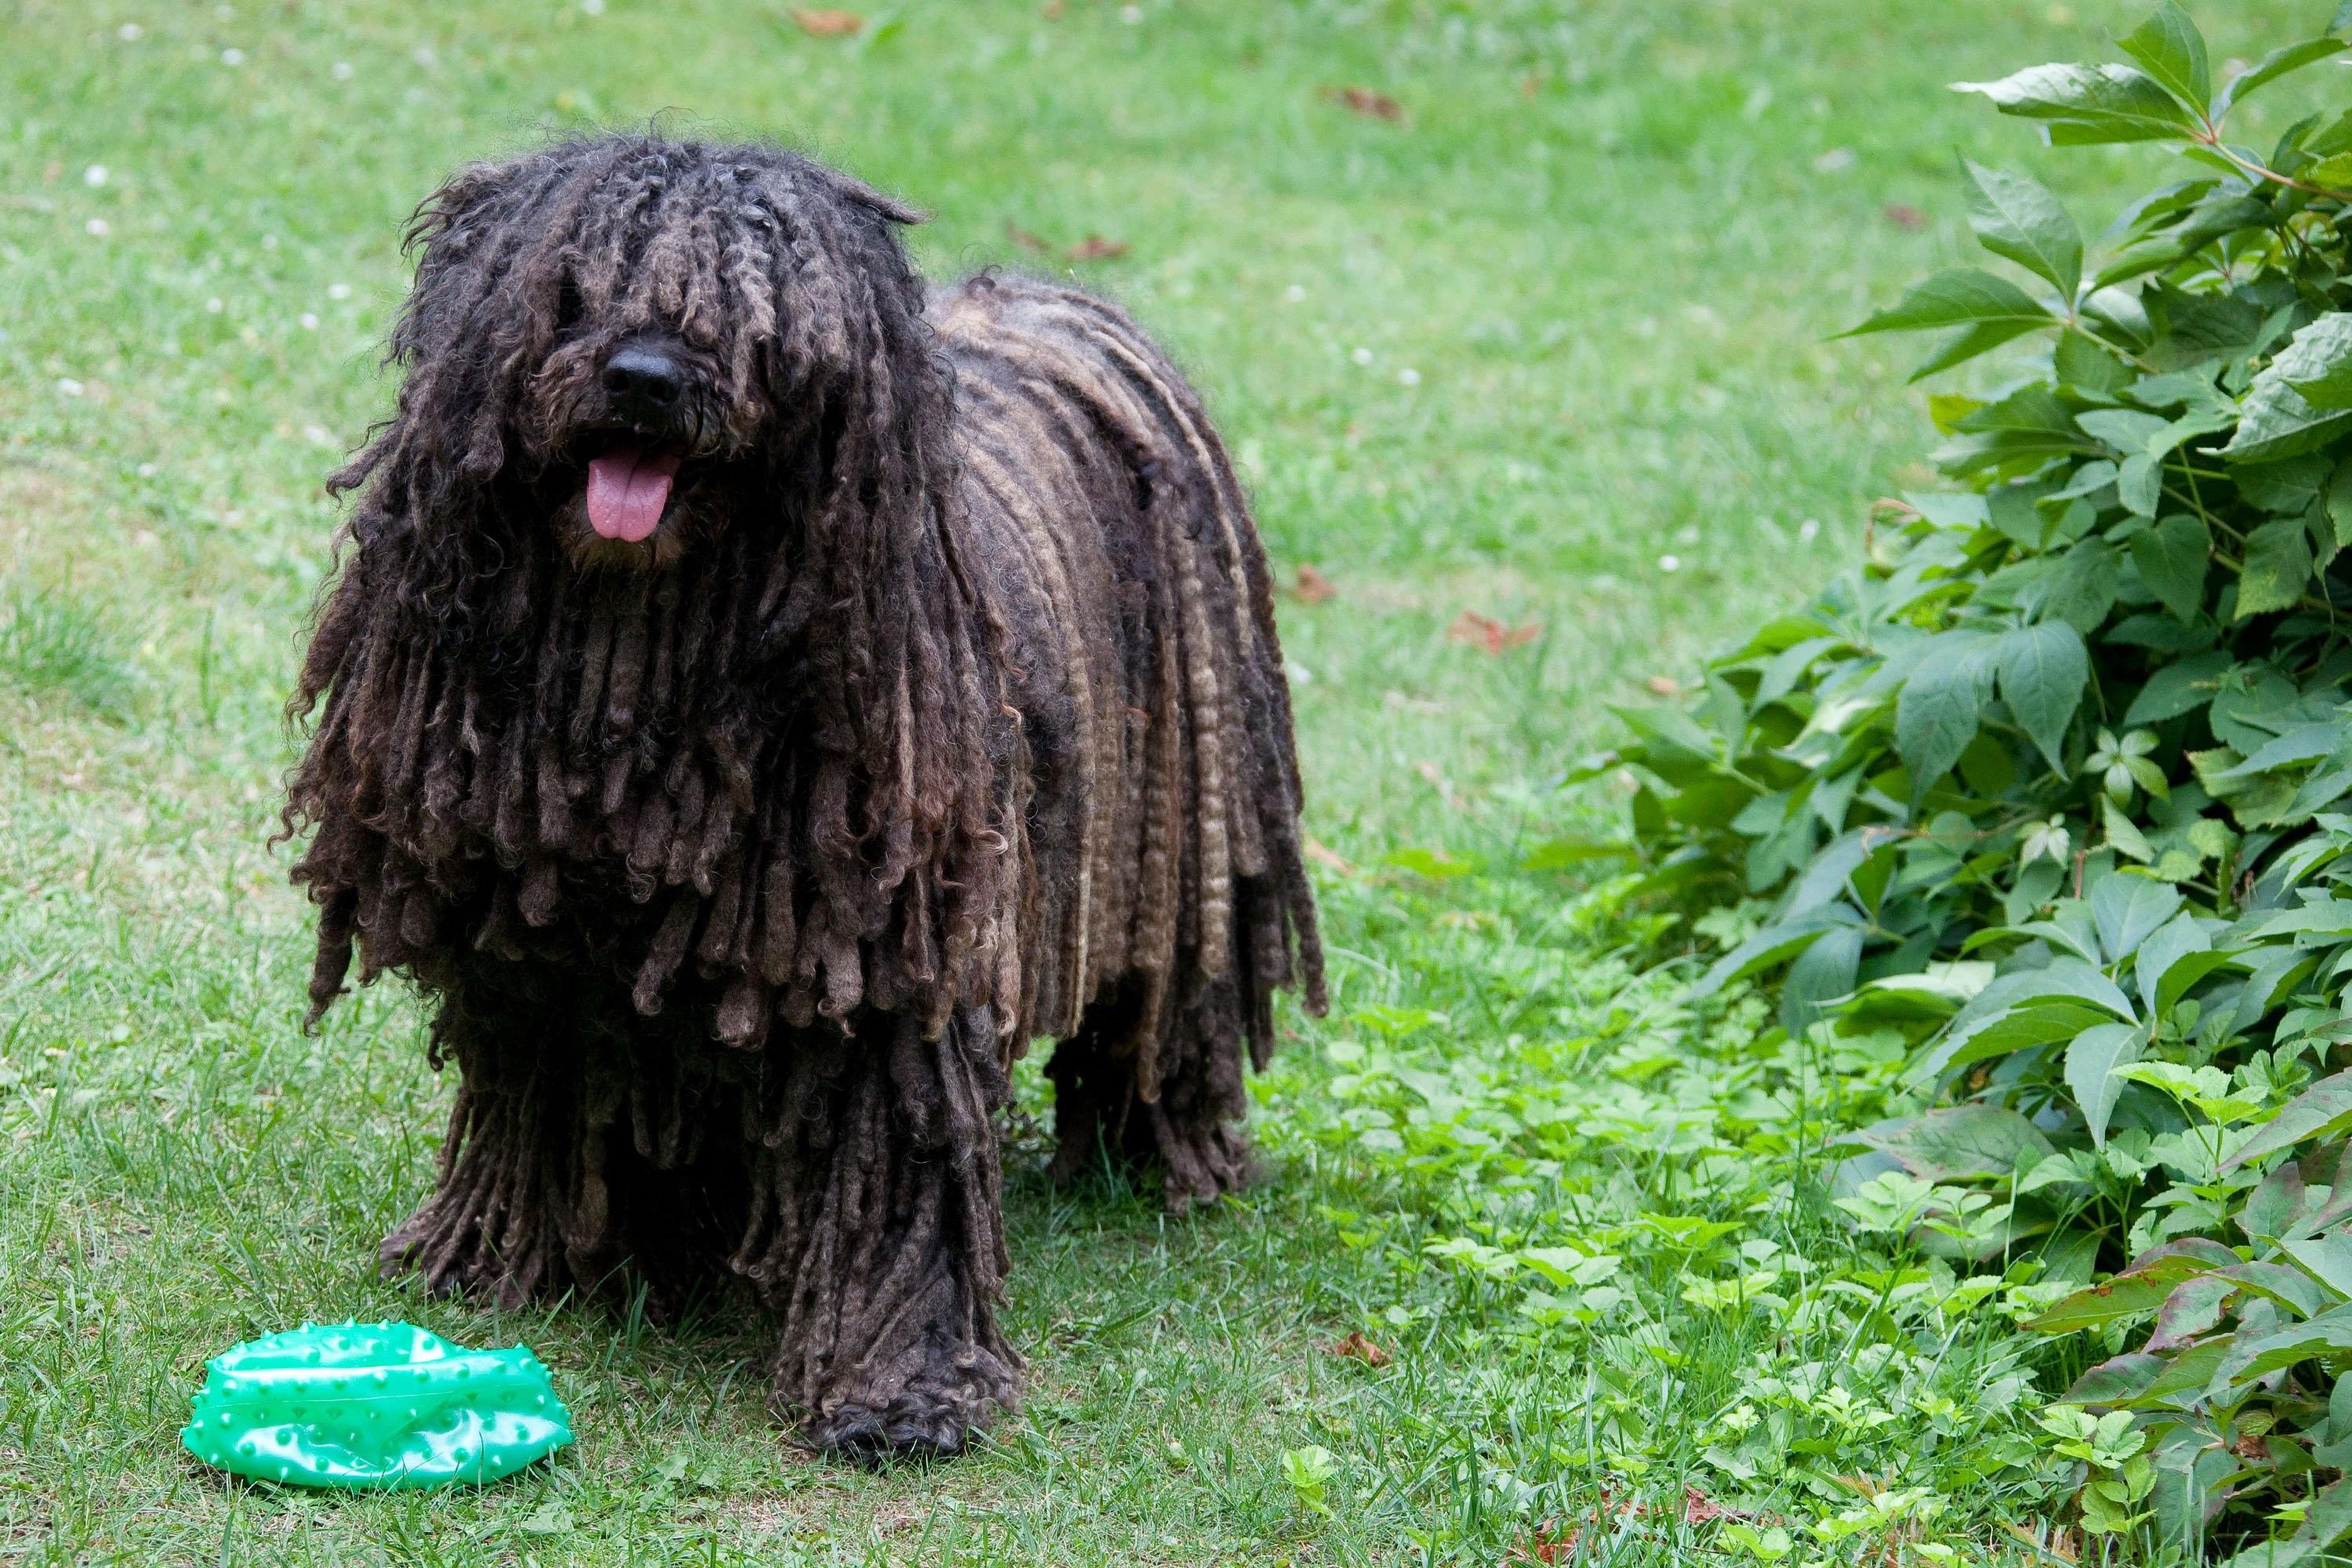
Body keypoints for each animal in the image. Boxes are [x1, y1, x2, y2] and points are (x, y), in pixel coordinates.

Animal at [280, 138, 1327, 1457]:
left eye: (759, 328)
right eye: (571, 292)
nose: (644, 378)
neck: (640, 664)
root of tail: (1054, 304)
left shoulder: (892, 960)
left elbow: (903, 1157)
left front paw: (899, 1390)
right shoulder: (530, 951)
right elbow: (543, 1090)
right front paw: (515, 1262)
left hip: (1183, 849)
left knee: (1158, 1015)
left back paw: (1150, 1161)